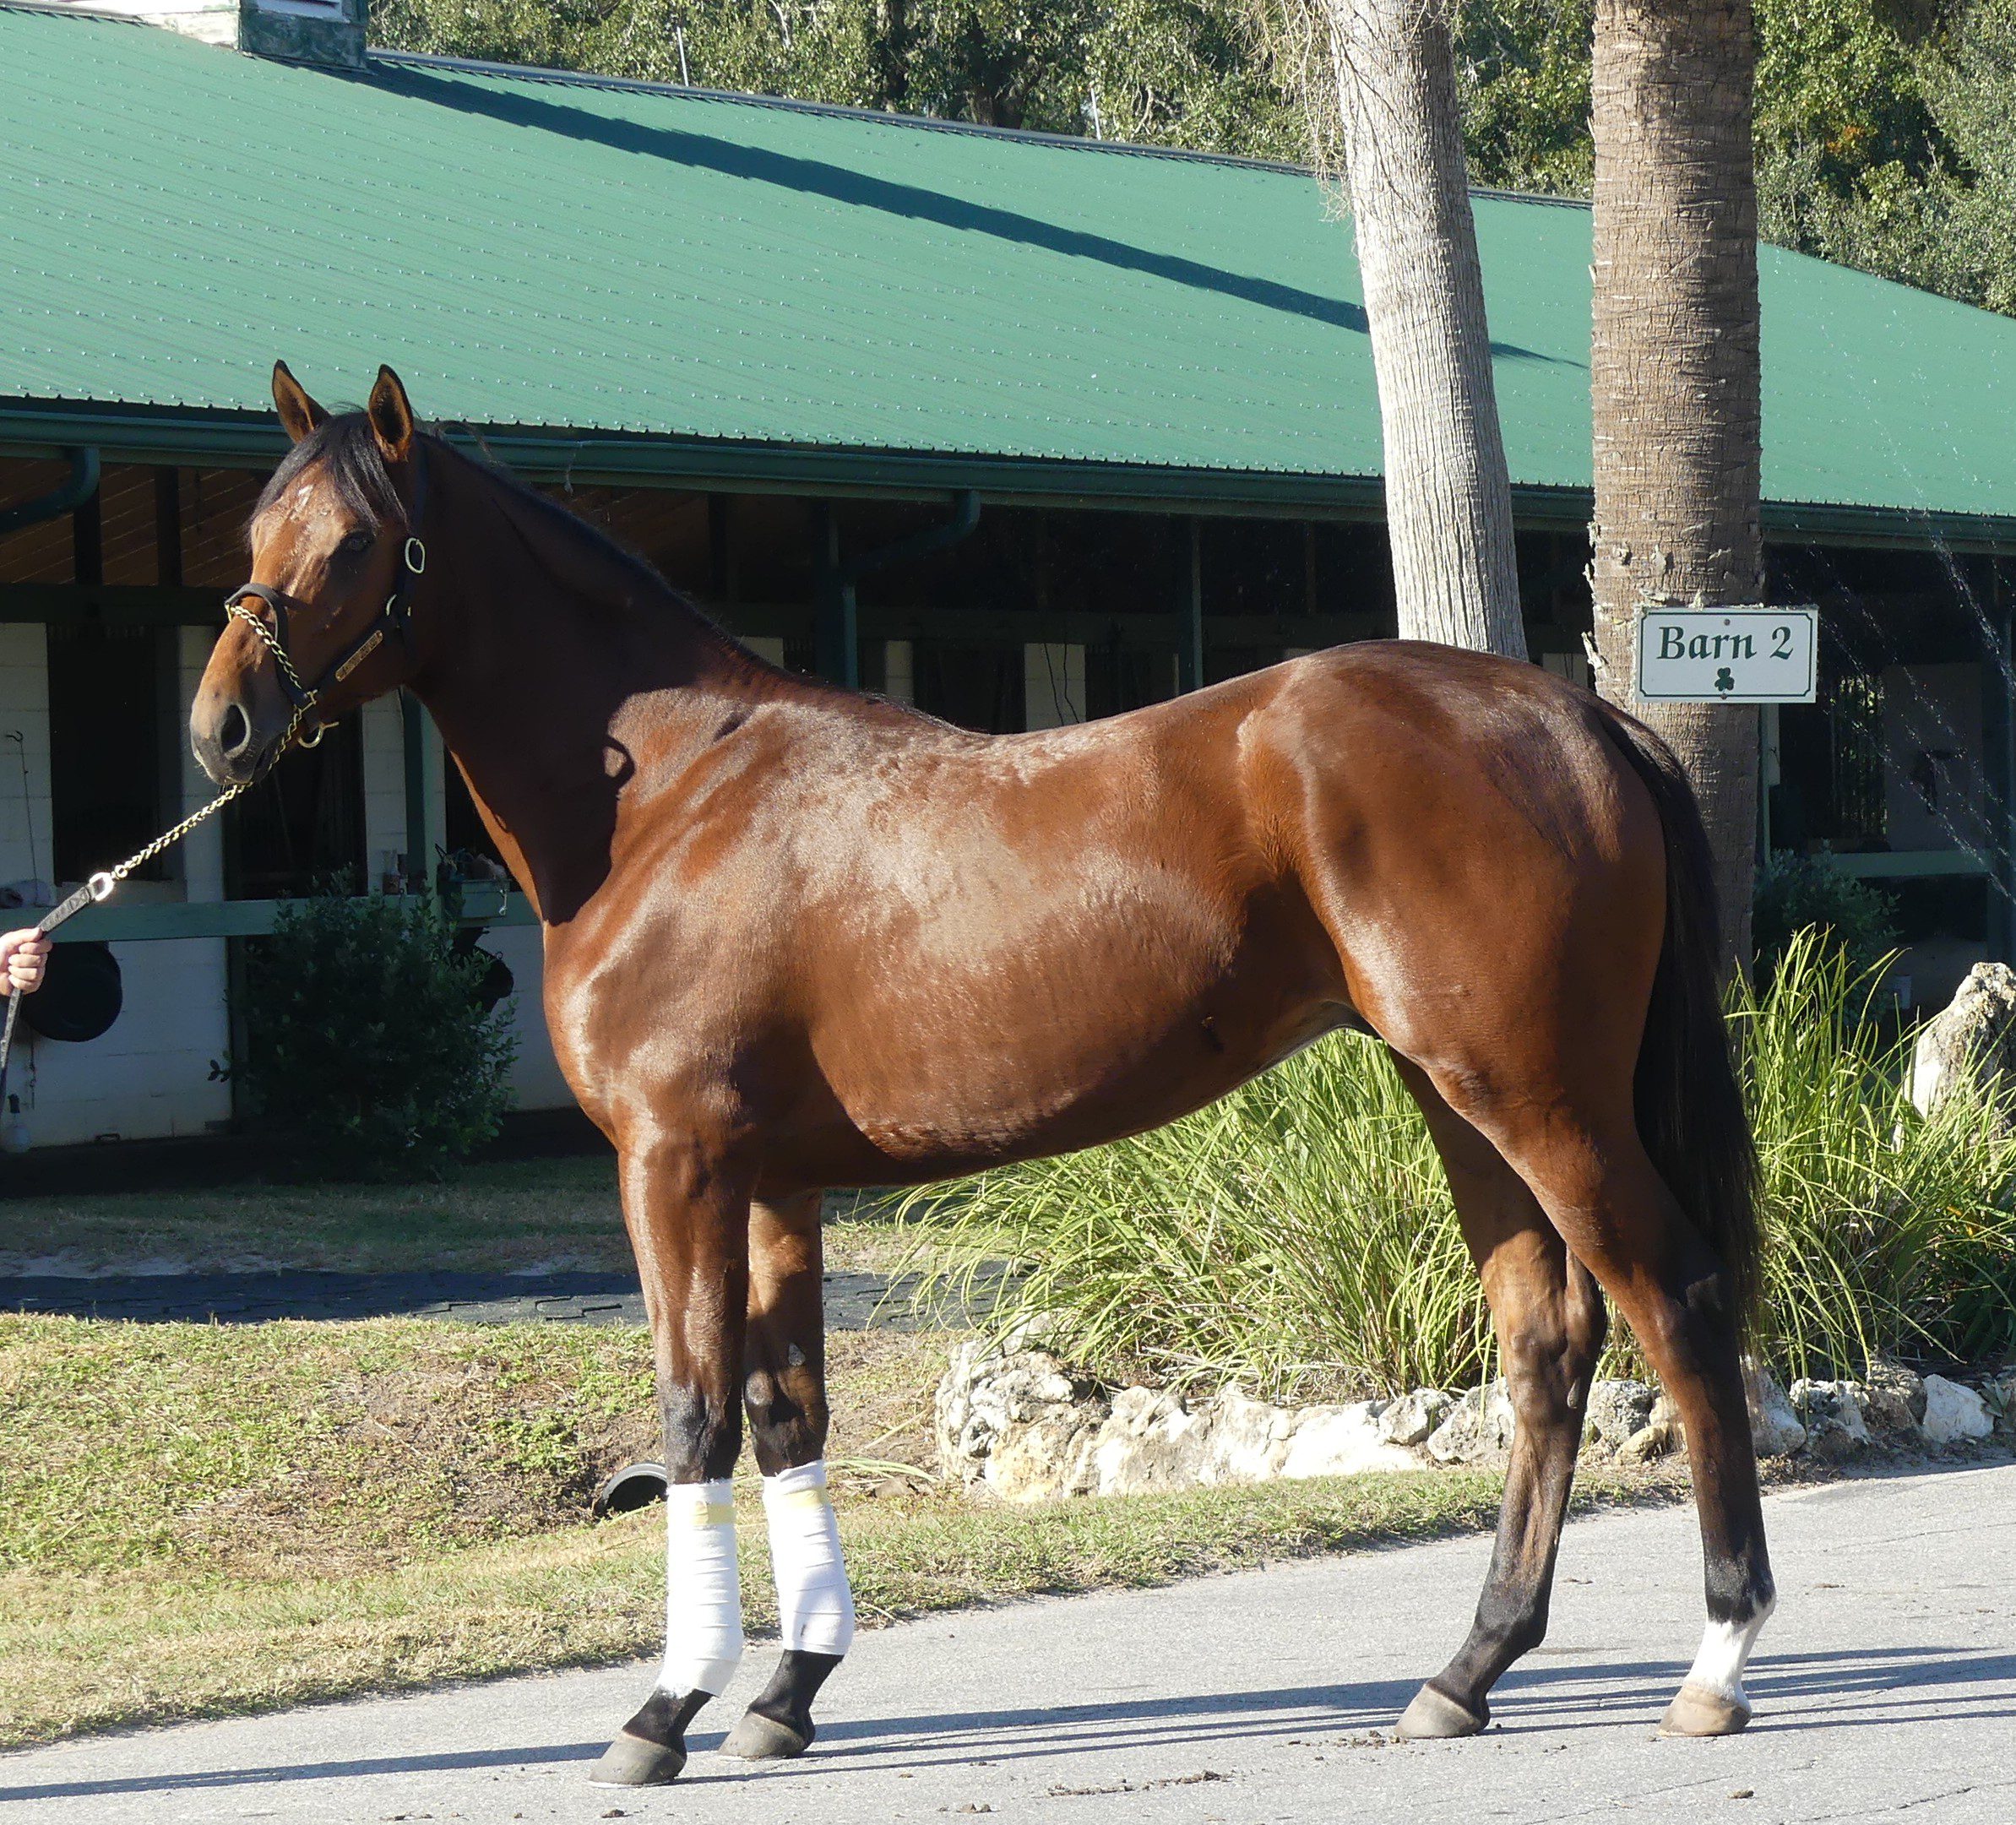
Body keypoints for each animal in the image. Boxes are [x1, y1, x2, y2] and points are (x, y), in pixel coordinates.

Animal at [191, 362, 1775, 1785]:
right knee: (1545, 1341)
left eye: (352, 543)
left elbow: (693, 1412)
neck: (673, 800)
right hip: (1459, 1099)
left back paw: (1713, 1661)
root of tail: (1578, 717)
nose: (219, 728)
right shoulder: (774, 1184)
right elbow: (788, 1412)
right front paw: (786, 1693)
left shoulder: (675, 1165)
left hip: (1537, 1097)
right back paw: (1465, 1670)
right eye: (254, 532)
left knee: (1678, 1304)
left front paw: (664, 1709)